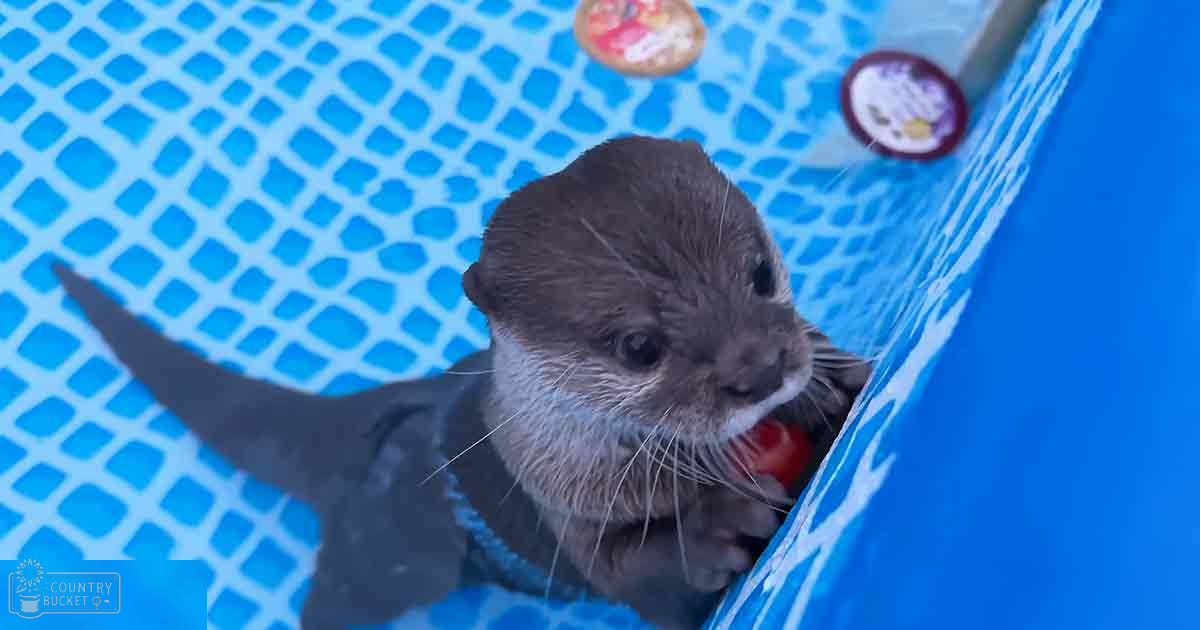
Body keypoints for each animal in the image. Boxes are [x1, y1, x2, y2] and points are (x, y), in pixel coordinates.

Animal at [52, 136, 870, 630]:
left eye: (760, 273)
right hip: (390, 553)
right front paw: (714, 526)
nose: (760, 368)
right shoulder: (571, 521)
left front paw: (827, 388)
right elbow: (645, 580)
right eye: (639, 346)